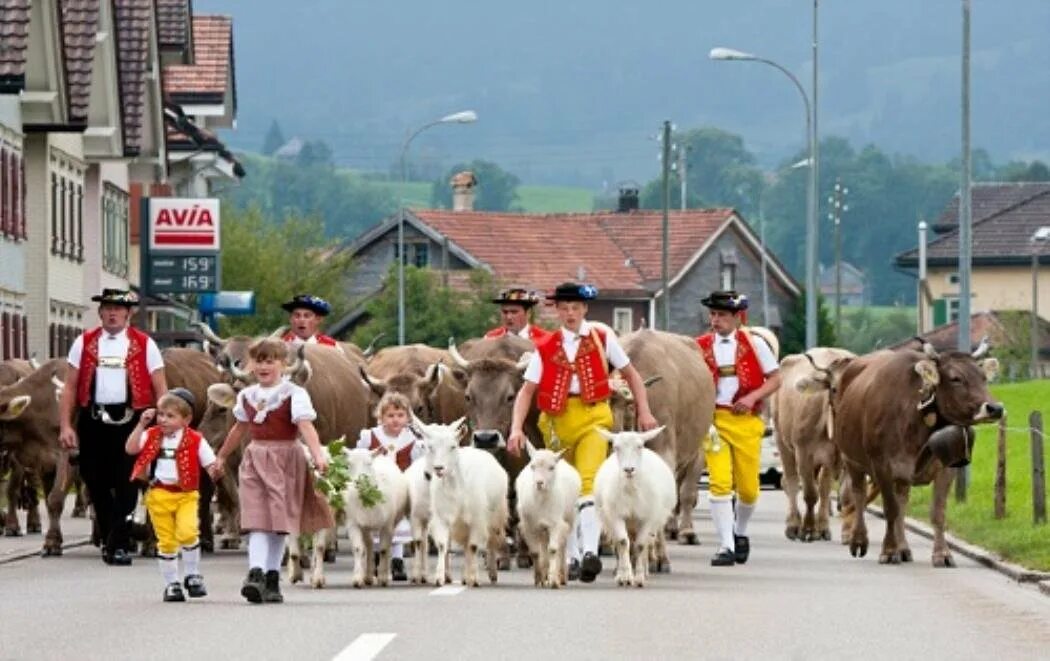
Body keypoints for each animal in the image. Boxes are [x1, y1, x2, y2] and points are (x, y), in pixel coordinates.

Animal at [422, 421, 512, 587]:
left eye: (453, 446)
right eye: (430, 447)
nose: (438, 468)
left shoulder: (477, 519)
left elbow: (473, 546)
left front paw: (474, 578)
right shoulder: (442, 517)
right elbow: (443, 545)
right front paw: (439, 578)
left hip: (494, 516)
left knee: (490, 542)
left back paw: (492, 573)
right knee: (466, 547)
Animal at [512, 444, 579, 591]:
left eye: (551, 467)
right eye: (533, 466)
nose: (539, 483)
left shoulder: (556, 524)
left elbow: (553, 549)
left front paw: (553, 580)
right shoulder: (529, 527)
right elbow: (536, 552)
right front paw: (539, 579)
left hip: (569, 519)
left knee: (562, 546)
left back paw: (561, 576)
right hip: (542, 528)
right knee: (544, 546)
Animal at [596, 430, 676, 591]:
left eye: (640, 446)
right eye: (616, 447)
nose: (629, 470)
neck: (631, 489)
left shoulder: (647, 518)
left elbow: (640, 546)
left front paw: (639, 578)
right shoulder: (616, 515)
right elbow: (622, 542)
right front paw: (625, 577)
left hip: (653, 522)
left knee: (645, 544)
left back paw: (644, 571)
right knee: (622, 544)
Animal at [776, 346, 856, 545]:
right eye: (834, 388)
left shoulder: (839, 458)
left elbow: (829, 491)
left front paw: (825, 529)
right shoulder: (804, 453)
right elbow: (810, 494)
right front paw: (808, 529)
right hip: (782, 441)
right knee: (790, 482)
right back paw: (793, 525)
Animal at [818, 344, 999, 566]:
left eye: (983, 377)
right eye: (956, 378)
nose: (995, 408)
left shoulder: (945, 468)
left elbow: (937, 512)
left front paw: (942, 554)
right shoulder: (882, 466)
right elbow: (890, 509)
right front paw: (888, 550)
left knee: (901, 500)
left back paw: (903, 548)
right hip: (851, 460)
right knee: (858, 496)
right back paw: (859, 540)